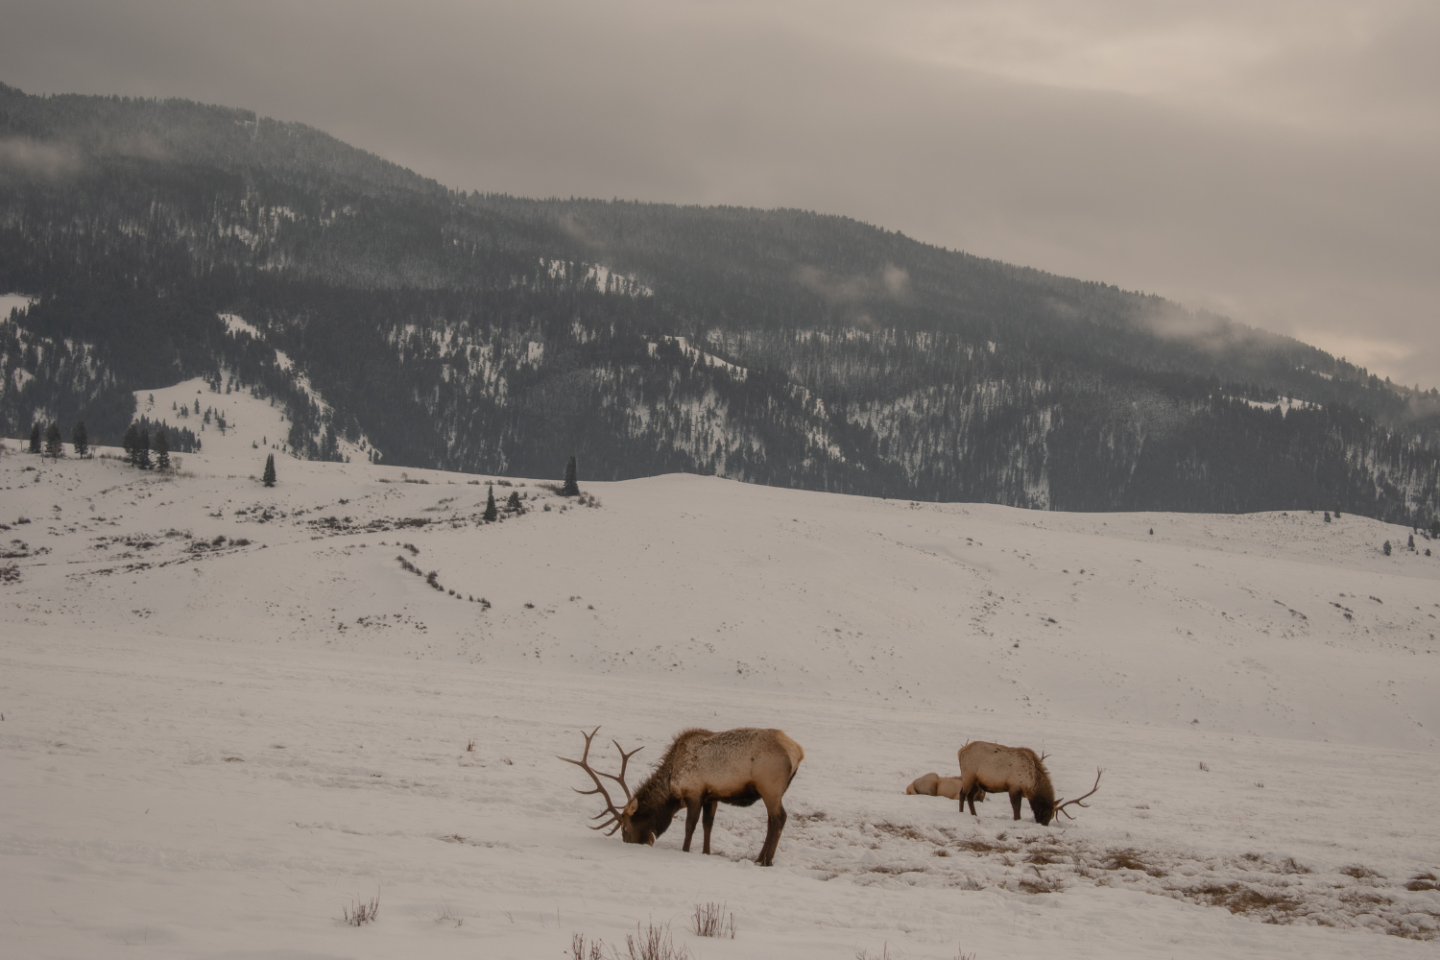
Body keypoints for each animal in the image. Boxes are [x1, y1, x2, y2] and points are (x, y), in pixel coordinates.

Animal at [558, 725, 806, 869]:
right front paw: (706, 852)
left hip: (769, 787)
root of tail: (799, 751)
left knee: (779, 818)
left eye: (625, 829)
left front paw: (685, 851)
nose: (637, 844)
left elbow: (690, 825)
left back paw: (766, 860)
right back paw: (760, 858)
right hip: (771, 790)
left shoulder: (694, 793)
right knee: (772, 821)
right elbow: (707, 825)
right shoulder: (711, 796)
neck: (671, 788)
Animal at [956, 742, 1100, 829]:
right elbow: (1016, 808)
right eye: (1048, 813)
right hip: (968, 775)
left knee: (970, 796)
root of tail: (960, 751)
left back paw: (974, 814)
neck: (1032, 784)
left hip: (977, 781)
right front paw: (1017, 820)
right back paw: (961, 812)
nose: (1044, 825)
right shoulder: (1014, 786)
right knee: (962, 794)